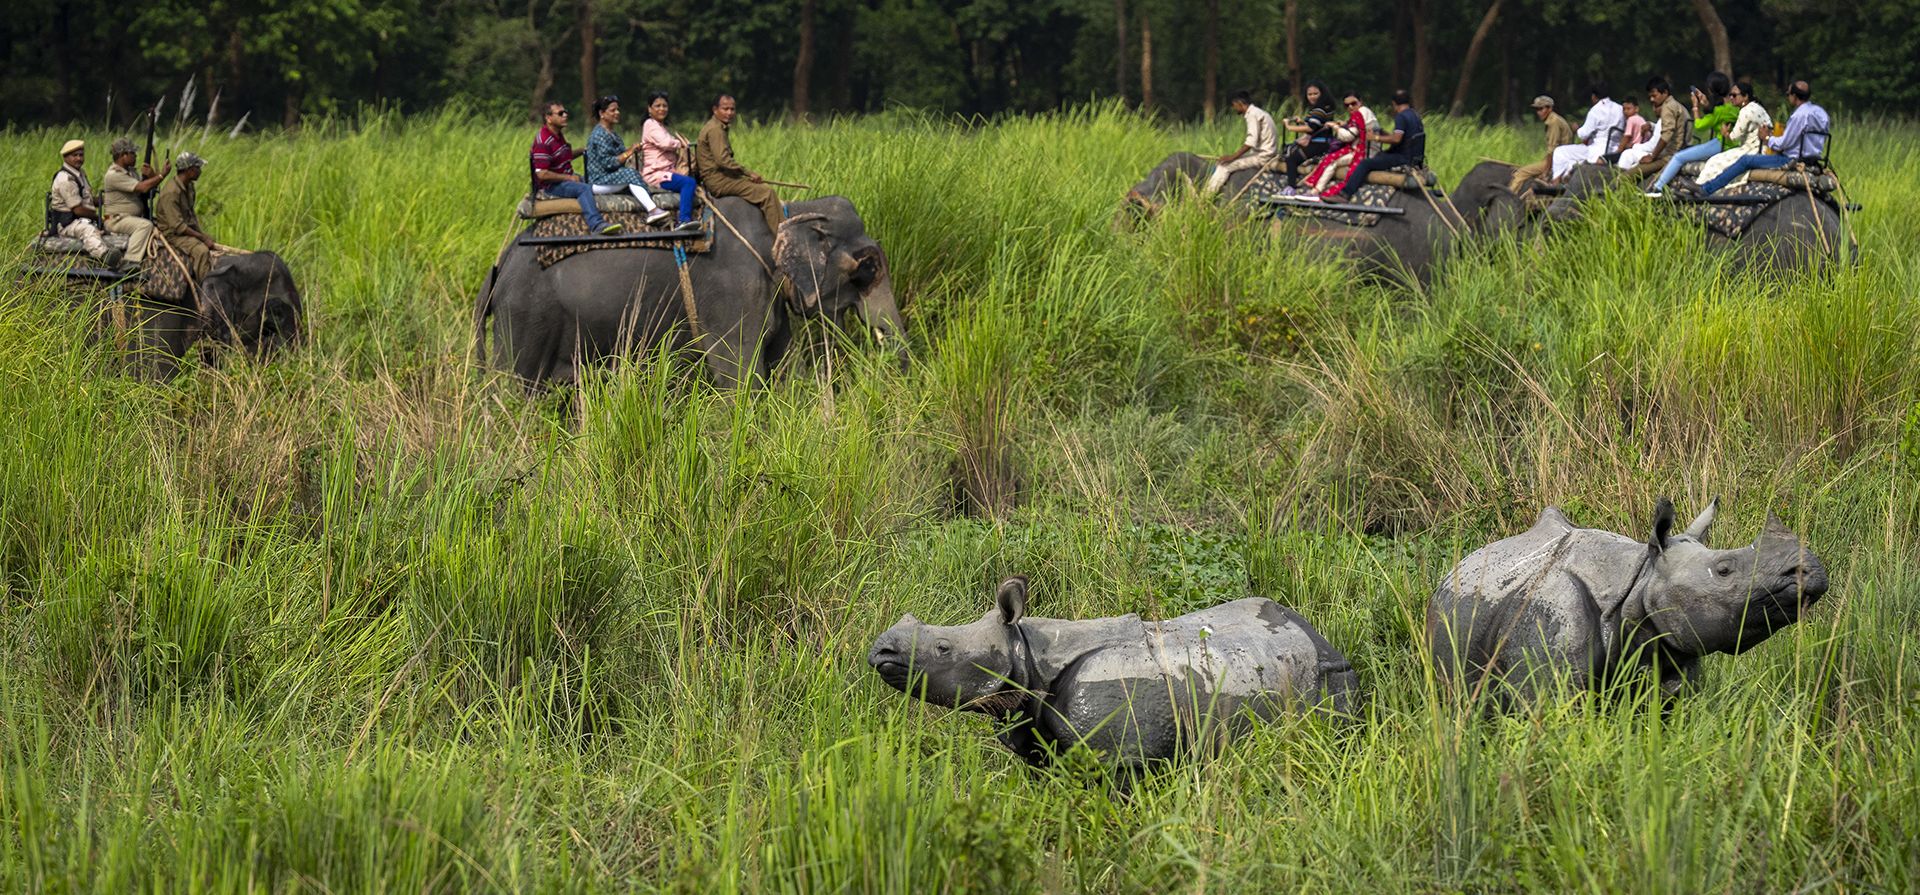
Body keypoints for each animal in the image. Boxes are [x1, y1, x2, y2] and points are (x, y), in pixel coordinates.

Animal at [473, 195, 905, 388]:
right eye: (868, 268)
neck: (786, 212)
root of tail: (498, 266)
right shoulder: (734, 294)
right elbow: (737, 373)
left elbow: (780, 367)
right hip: (526, 318)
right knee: (515, 391)